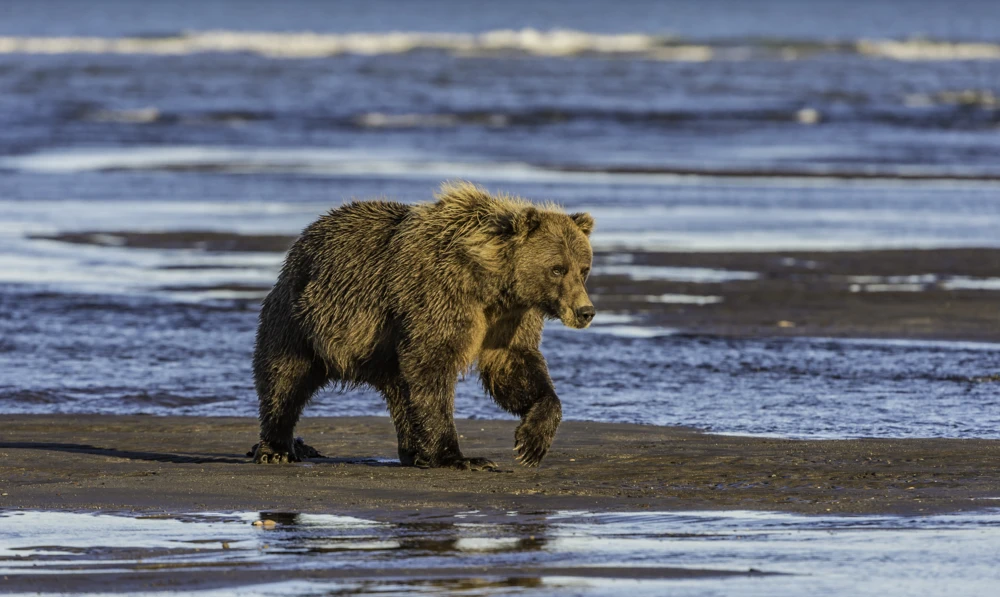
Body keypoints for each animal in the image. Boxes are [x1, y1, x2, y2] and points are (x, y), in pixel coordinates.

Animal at [249, 181, 595, 470]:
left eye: (584, 269)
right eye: (557, 269)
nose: (585, 311)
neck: (491, 283)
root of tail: (302, 240)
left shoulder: (511, 317)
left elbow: (512, 364)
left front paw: (531, 443)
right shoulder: (439, 295)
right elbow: (432, 365)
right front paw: (459, 457)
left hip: (380, 349)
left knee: (400, 391)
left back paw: (413, 451)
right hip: (299, 317)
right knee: (285, 378)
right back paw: (276, 447)